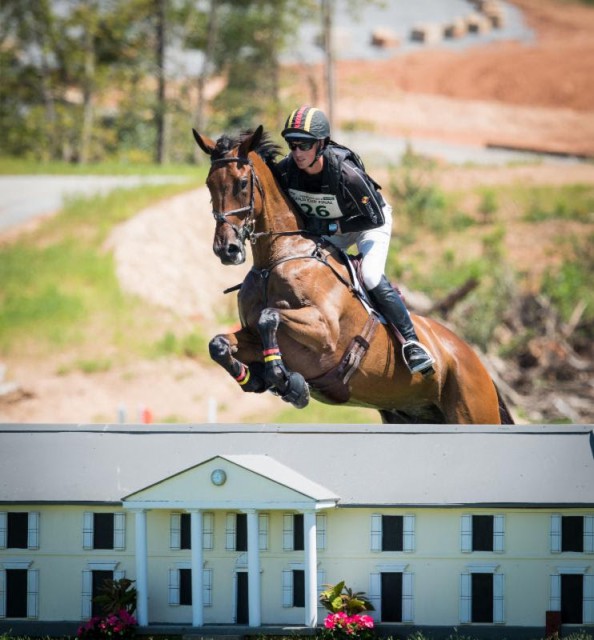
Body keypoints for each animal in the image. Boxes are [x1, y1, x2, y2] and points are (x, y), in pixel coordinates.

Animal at [192, 125, 512, 424]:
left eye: (242, 183)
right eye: (209, 185)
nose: (227, 249)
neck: (275, 261)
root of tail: (477, 362)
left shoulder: (325, 331)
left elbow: (269, 315)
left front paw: (287, 381)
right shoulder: (251, 336)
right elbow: (218, 344)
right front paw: (257, 378)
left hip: (472, 410)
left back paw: (417, 354)